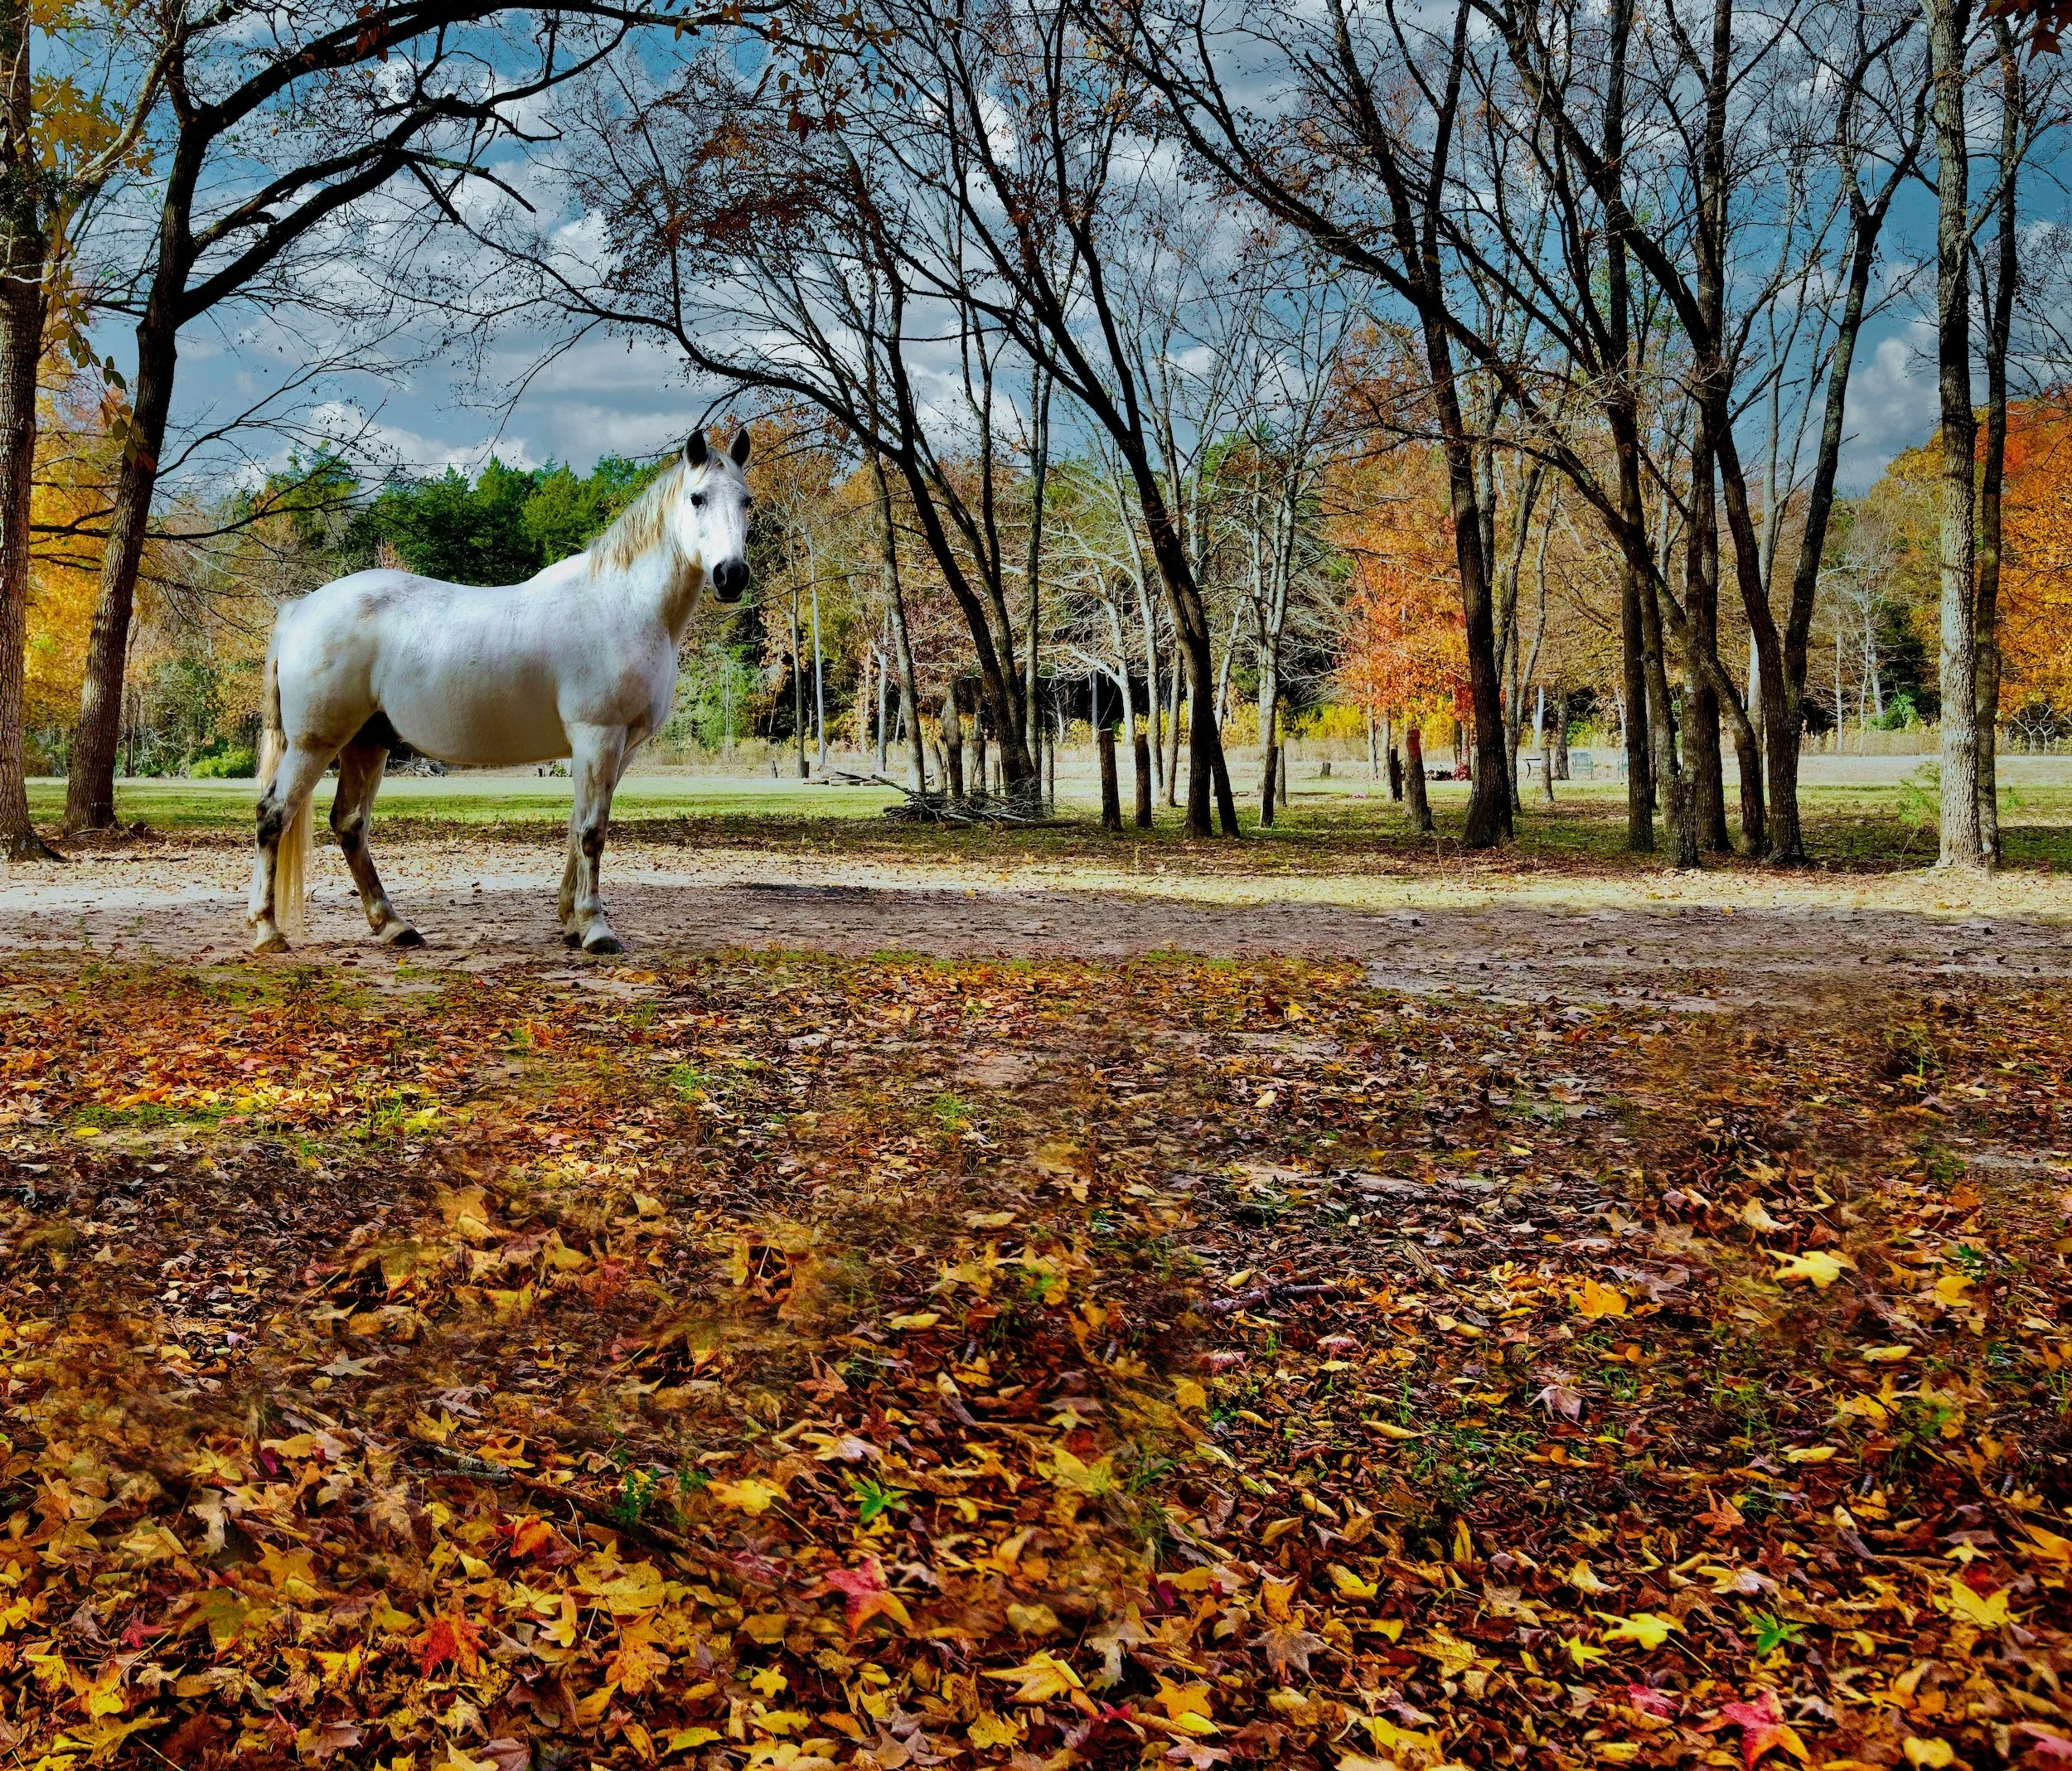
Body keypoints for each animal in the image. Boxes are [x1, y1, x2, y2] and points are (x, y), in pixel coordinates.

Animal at [248, 427, 753, 956]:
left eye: (746, 501)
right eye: (697, 499)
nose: (731, 575)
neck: (623, 603)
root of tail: (300, 608)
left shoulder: (621, 747)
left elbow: (578, 826)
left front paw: (571, 924)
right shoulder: (598, 736)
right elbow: (592, 832)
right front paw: (596, 930)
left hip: (367, 743)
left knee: (349, 825)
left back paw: (392, 926)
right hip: (315, 744)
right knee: (273, 814)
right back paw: (268, 930)